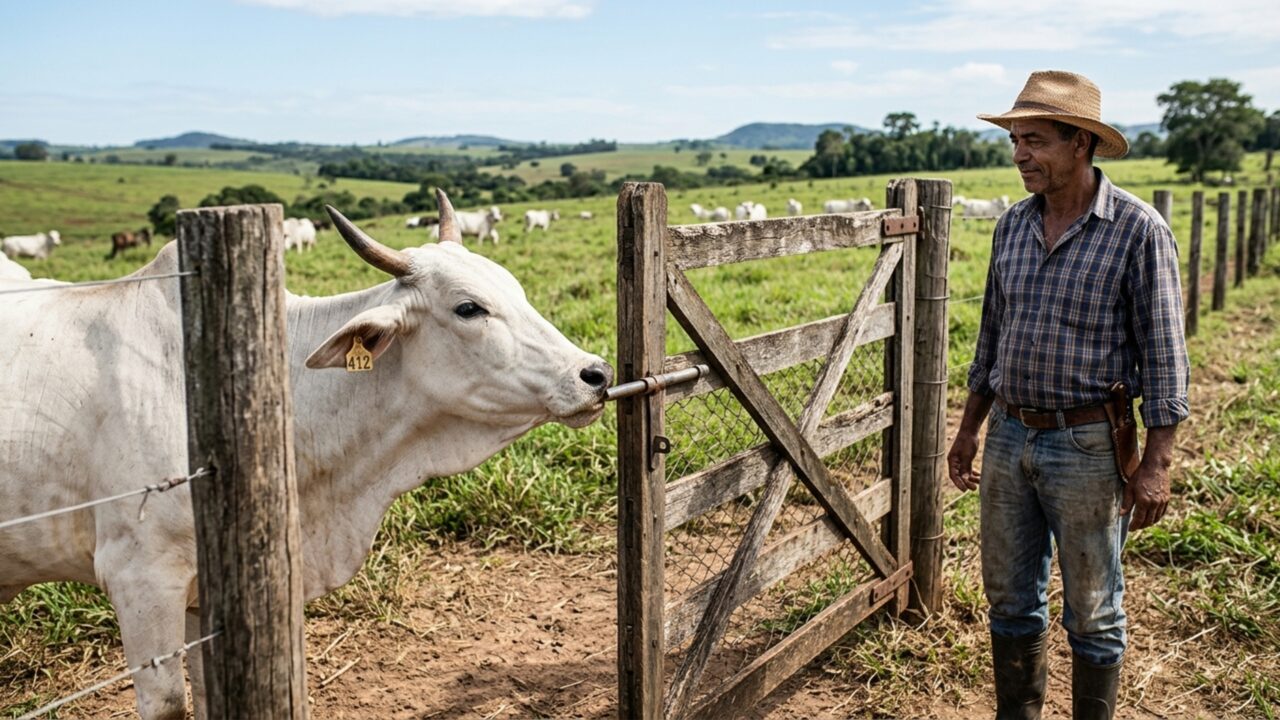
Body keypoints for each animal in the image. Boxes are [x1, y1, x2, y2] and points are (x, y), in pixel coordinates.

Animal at [0, 190, 611, 720]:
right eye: (468, 308)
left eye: (517, 289)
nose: (595, 373)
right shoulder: (140, 577)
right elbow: (169, 704)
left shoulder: (204, 594)